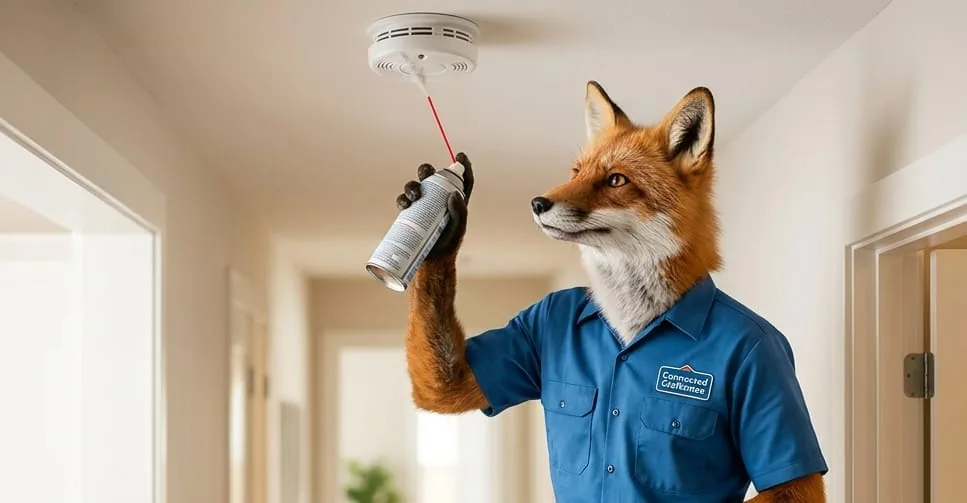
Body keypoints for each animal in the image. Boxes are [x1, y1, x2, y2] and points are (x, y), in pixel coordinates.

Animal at [394, 82, 826, 502]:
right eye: (576, 171)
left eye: (616, 179)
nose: (537, 202)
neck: (635, 319)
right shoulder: (527, 327)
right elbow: (449, 383)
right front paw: (436, 223)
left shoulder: (766, 357)